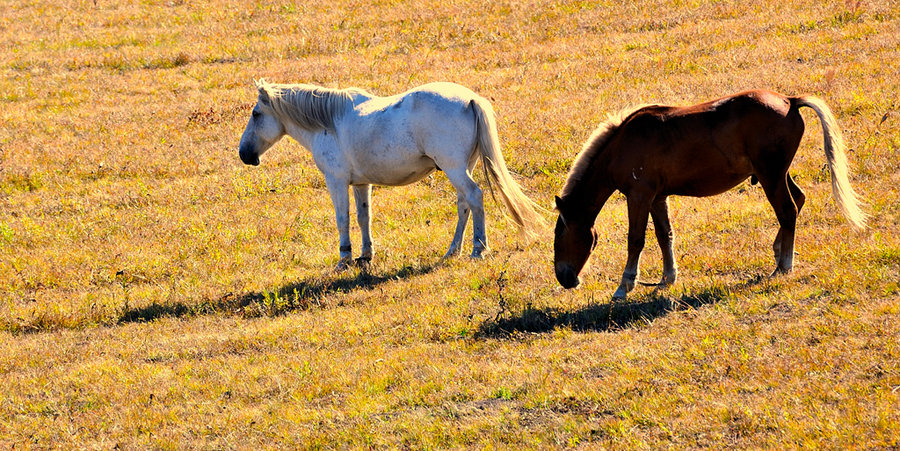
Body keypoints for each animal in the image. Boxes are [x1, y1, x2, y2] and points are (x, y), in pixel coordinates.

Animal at [239, 80, 544, 270]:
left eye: (256, 114)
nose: (245, 154)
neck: (328, 123)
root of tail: (470, 98)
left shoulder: (336, 181)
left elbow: (342, 219)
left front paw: (343, 259)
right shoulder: (361, 183)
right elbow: (363, 217)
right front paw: (365, 256)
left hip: (455, 168)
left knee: (475, 197)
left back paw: (478, 248)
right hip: (461, 168)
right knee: (464, 204)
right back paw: (452, 250)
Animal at [552, 90, 868, 298]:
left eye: (559, 236)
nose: (564, 278)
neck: (623, 143)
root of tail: (789, 101)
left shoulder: (639, 195)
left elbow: (636, 240)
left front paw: (625, 285)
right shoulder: (657, 197)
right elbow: (664, 235)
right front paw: (668, 277)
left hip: (771, 176)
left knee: (788, 211)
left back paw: (784, 266)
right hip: (777, 174)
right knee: (798, 201)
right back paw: (779, 251)